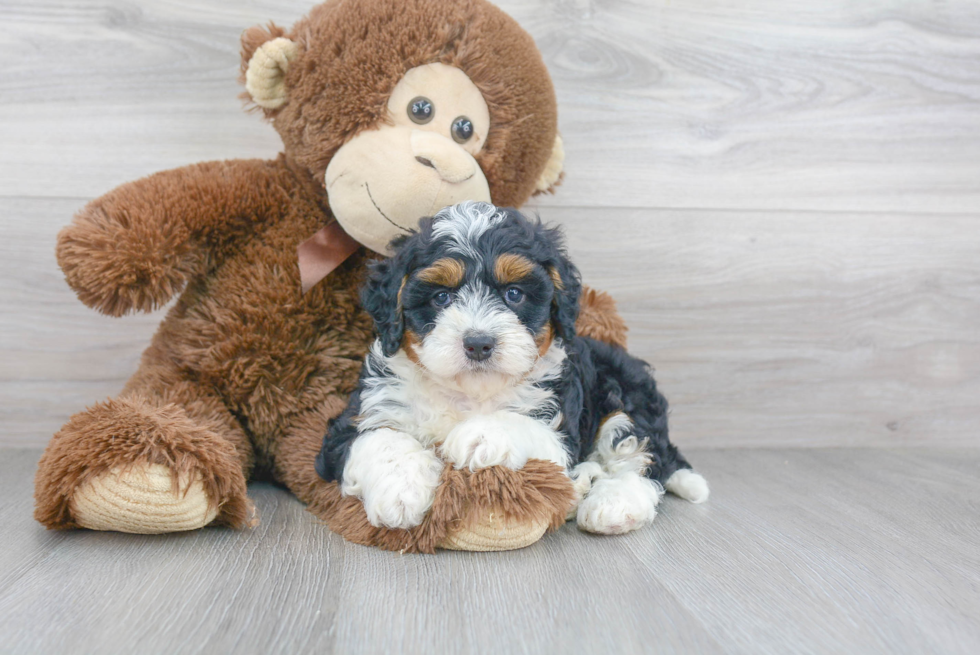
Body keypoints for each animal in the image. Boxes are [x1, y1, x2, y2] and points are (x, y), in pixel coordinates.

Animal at [318, 202, 708, 536]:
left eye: (515, 294)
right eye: (441, 297)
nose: (478, 343)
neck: (469, 391)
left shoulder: (559, 427)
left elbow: (520, 424)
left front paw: (478, 435)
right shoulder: (360, 415)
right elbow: (380, 438)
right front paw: (400, 493)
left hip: (628, 391)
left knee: (638, 456)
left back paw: (613, 504)